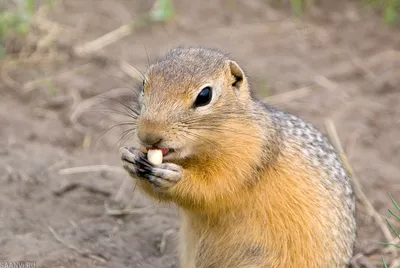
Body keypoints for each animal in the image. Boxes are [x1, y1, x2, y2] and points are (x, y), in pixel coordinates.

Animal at [119, 47, 356, 266]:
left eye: (204, 96)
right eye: (144, 83)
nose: (149, 134)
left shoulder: (249, 155)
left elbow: (214, 186)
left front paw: (174, 177)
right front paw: (129, 157)